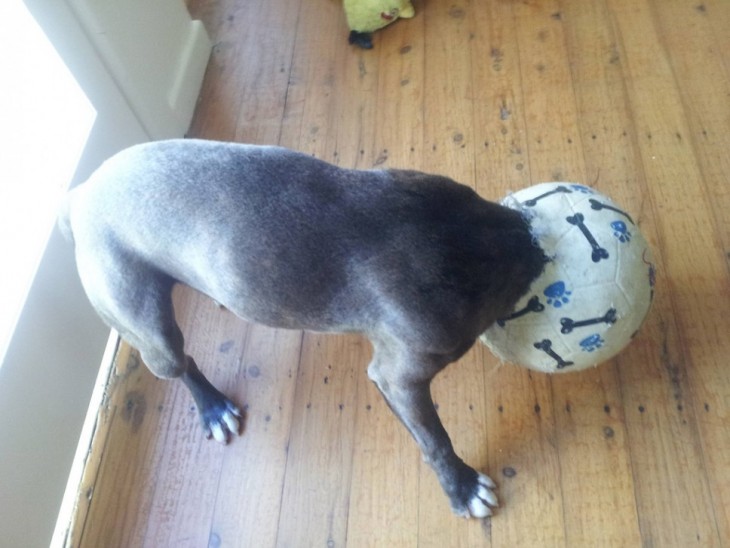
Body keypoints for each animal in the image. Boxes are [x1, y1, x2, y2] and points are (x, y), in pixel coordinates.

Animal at [59, 138, 544, 520]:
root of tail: (78, 198)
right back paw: (213, 407)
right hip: (151, 333)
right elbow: (435, 439)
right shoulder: (401, 375)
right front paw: (462, 488)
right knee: (182, 362)